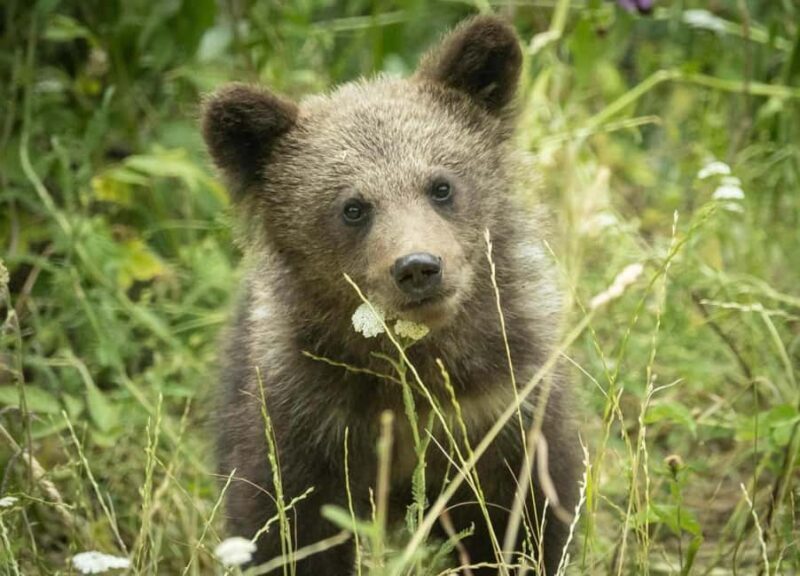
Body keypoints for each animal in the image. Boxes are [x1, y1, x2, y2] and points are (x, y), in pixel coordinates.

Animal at [202, 15, 580, 576]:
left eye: (441, 185)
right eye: (353, 207)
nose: (418, 267)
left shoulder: (505, 408)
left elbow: (522, 521)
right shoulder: (306, 421)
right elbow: (287, 530)